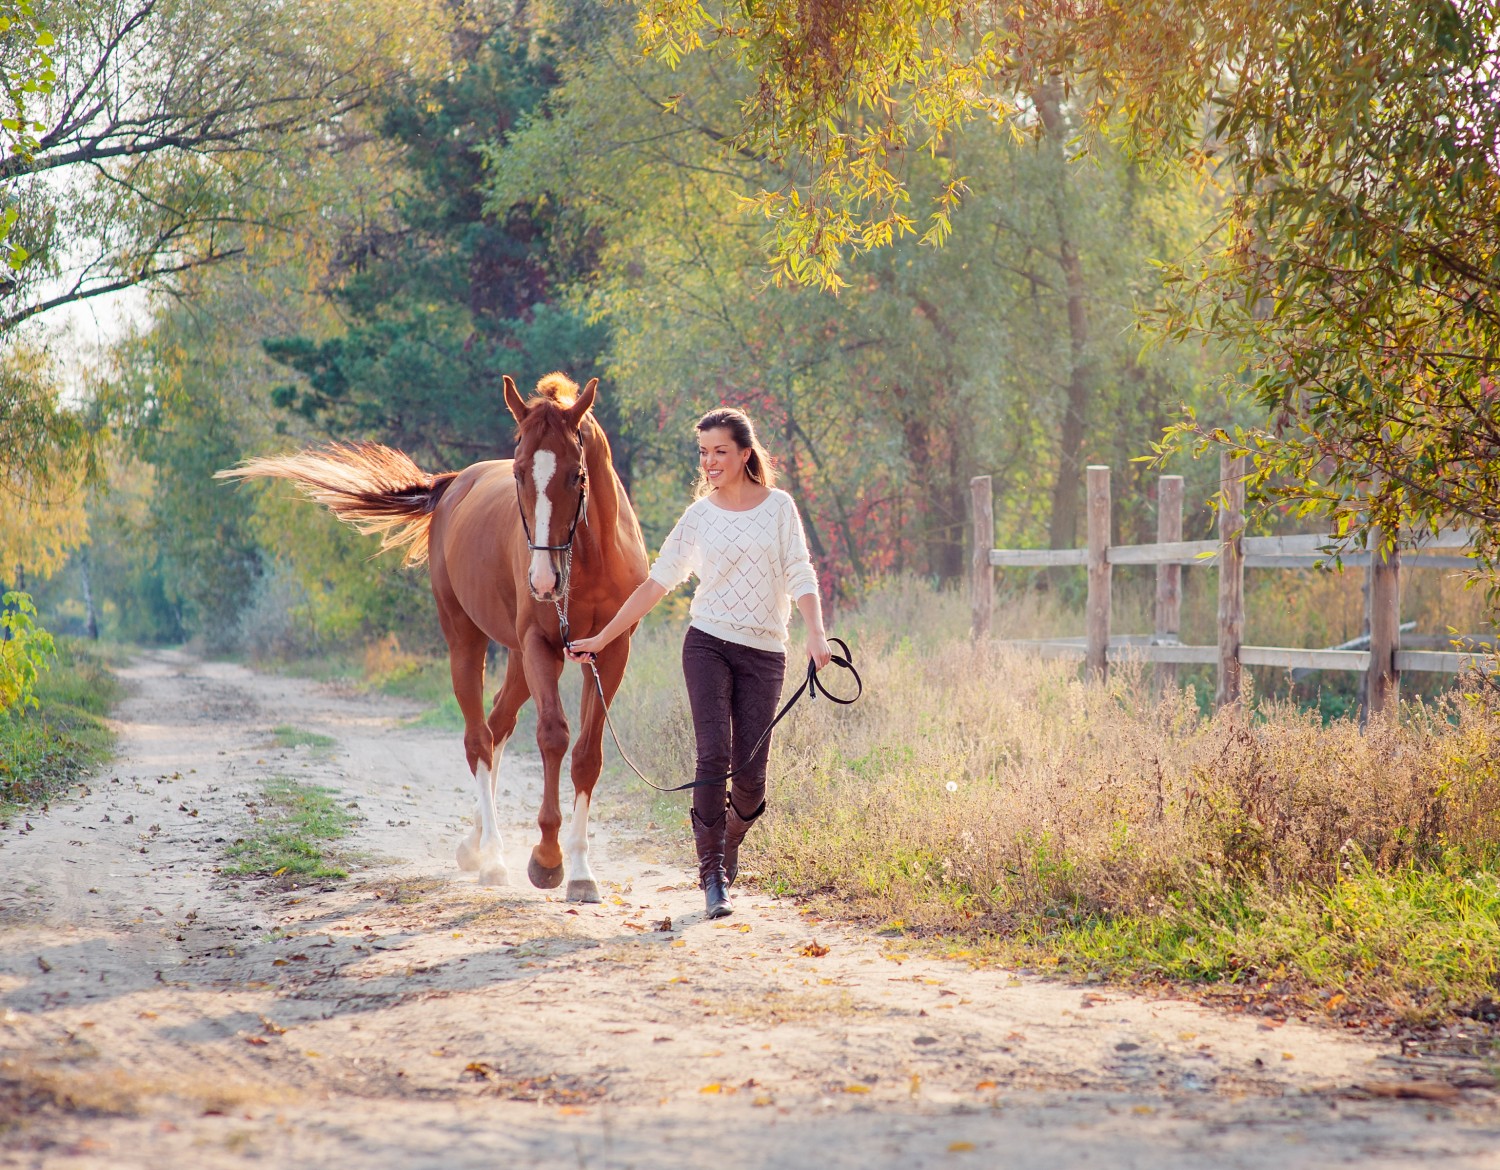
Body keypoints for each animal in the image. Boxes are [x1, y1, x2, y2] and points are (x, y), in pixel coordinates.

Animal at [217, 375, 645, 906]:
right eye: (520, 473)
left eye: (575, 475)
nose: (544, 582)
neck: (590, 556)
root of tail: (454, 485)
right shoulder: (542, 647)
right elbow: (552, 736)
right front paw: (547, 859)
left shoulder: (609, 652)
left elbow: (587, 756)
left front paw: (582, 871)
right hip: (470, 641)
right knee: (479, 738)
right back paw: (492, 857)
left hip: (517, 657)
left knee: (497, 724)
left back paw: (475, 844)